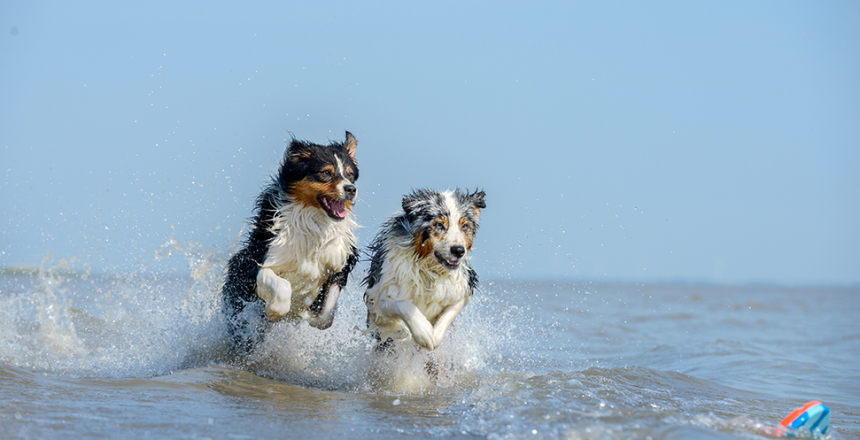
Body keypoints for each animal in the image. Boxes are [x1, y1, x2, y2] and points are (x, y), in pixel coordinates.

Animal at [225, 131, 360, 354]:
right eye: (326, 172)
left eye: (349, 174)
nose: (351, 189)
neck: (315, 222)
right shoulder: (264, 262)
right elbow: (283, 288)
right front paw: (273, 311)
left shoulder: (339, 265)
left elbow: (326, 317)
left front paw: (310, 314)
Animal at [362, 187, 484, 352]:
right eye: (439, 225)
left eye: (464, 226)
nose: (459, 251)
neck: (428, 268)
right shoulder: (377, 299)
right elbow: (402, 304)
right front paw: (424, 332)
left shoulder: (462, 288)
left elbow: (449, 313)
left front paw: (435, 336)